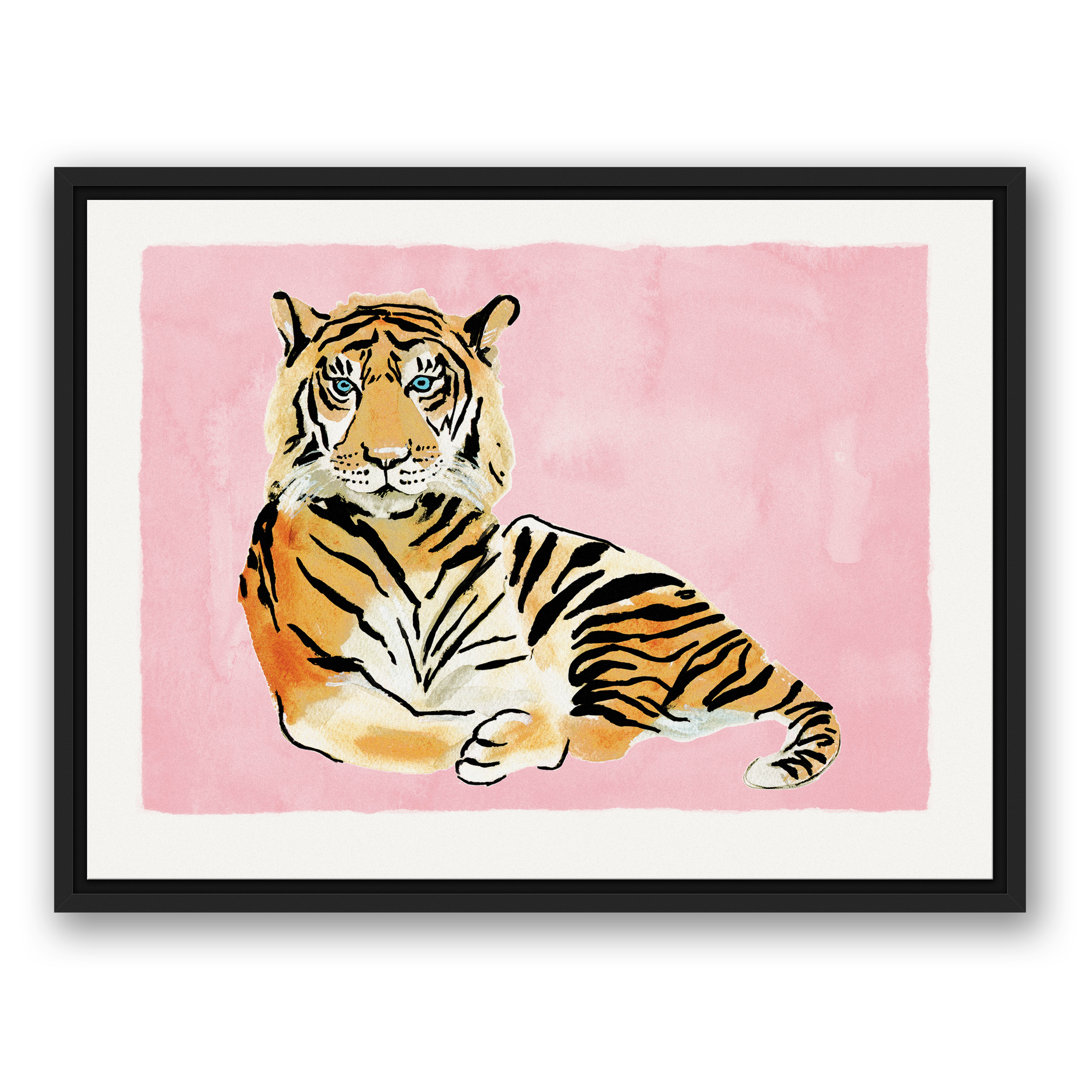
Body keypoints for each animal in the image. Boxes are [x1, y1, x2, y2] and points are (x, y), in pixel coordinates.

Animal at [239, 289, 840, 789]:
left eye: (423, 384)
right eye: (344, 387)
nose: (388, 458)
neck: (405, 533)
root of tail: (739, 638)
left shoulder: (499, 669)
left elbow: (502, 717)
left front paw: (508, 739)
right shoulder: (323, 687)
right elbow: (405, 731)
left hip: (611, 619)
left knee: (606, 728)